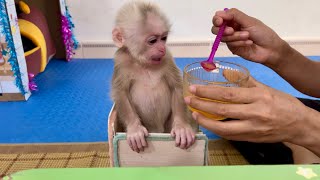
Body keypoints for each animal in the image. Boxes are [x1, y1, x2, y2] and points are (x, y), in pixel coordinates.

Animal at [112, 0, 198, 153]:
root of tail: (157, 130)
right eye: (152, 41)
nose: (162, 48)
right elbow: (121, 93)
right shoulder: (121, 61)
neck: (142, 63)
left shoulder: (167, 58)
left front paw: (181, 126)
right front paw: (134, 128)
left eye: (164, 38)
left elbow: (177, 87)